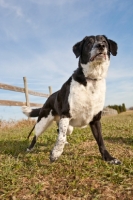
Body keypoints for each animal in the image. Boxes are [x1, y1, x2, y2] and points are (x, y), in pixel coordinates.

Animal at [22, 35, 120, 165]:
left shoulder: (95, 120)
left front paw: (109, 158)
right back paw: (29, 149)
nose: (101, 46)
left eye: (104, 41)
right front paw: (56, 153)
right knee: (36, 136)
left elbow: (101, 141)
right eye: (89, 43)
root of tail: (49, 97)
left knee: (59, 130)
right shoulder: (66, 115)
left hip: (68, 126)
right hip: (43, 122)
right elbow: (61, 138)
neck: (91, 79)